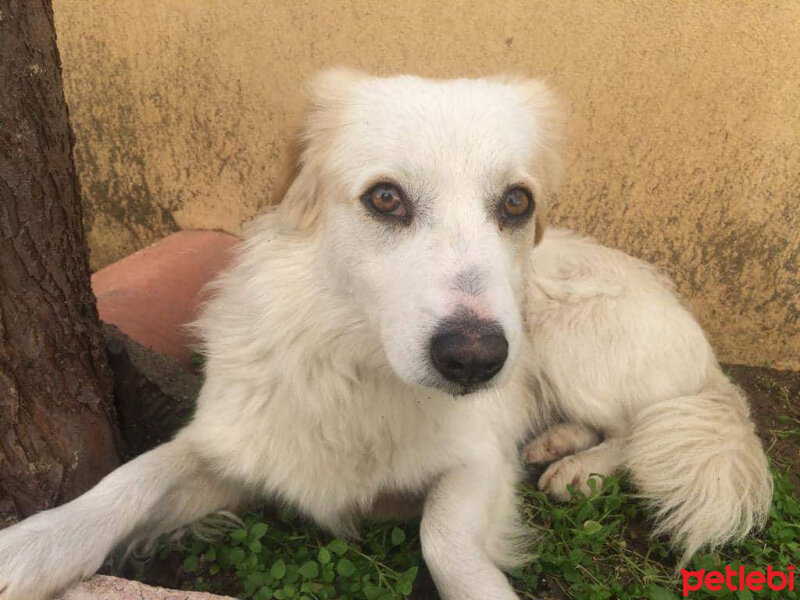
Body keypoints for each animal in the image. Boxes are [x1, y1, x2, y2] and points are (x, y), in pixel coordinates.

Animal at [1, 70, 776, 600]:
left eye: (515, 202)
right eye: (385, 198)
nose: (475, 361)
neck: (360, 368)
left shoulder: (477, 463)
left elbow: (443, 538)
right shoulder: (237, 444)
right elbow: (133, 478)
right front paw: (34, 549)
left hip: (565, 332)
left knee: (641, 426)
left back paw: (579, 467)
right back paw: (559, 443)